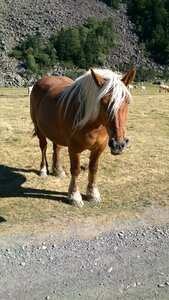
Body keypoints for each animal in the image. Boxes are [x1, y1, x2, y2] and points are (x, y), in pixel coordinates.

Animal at [30, 66, 136, 207]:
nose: (118, 144)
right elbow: (75, 170)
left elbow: (93, 168)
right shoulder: (74, 149)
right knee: (43, 147)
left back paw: (58, 171)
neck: (92, 125)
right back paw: (43, 170)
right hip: (39, 130)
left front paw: (93, 194)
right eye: (103, 102)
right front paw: (74, 196)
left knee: (56, 148)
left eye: (127, 101)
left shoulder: (99, 148)